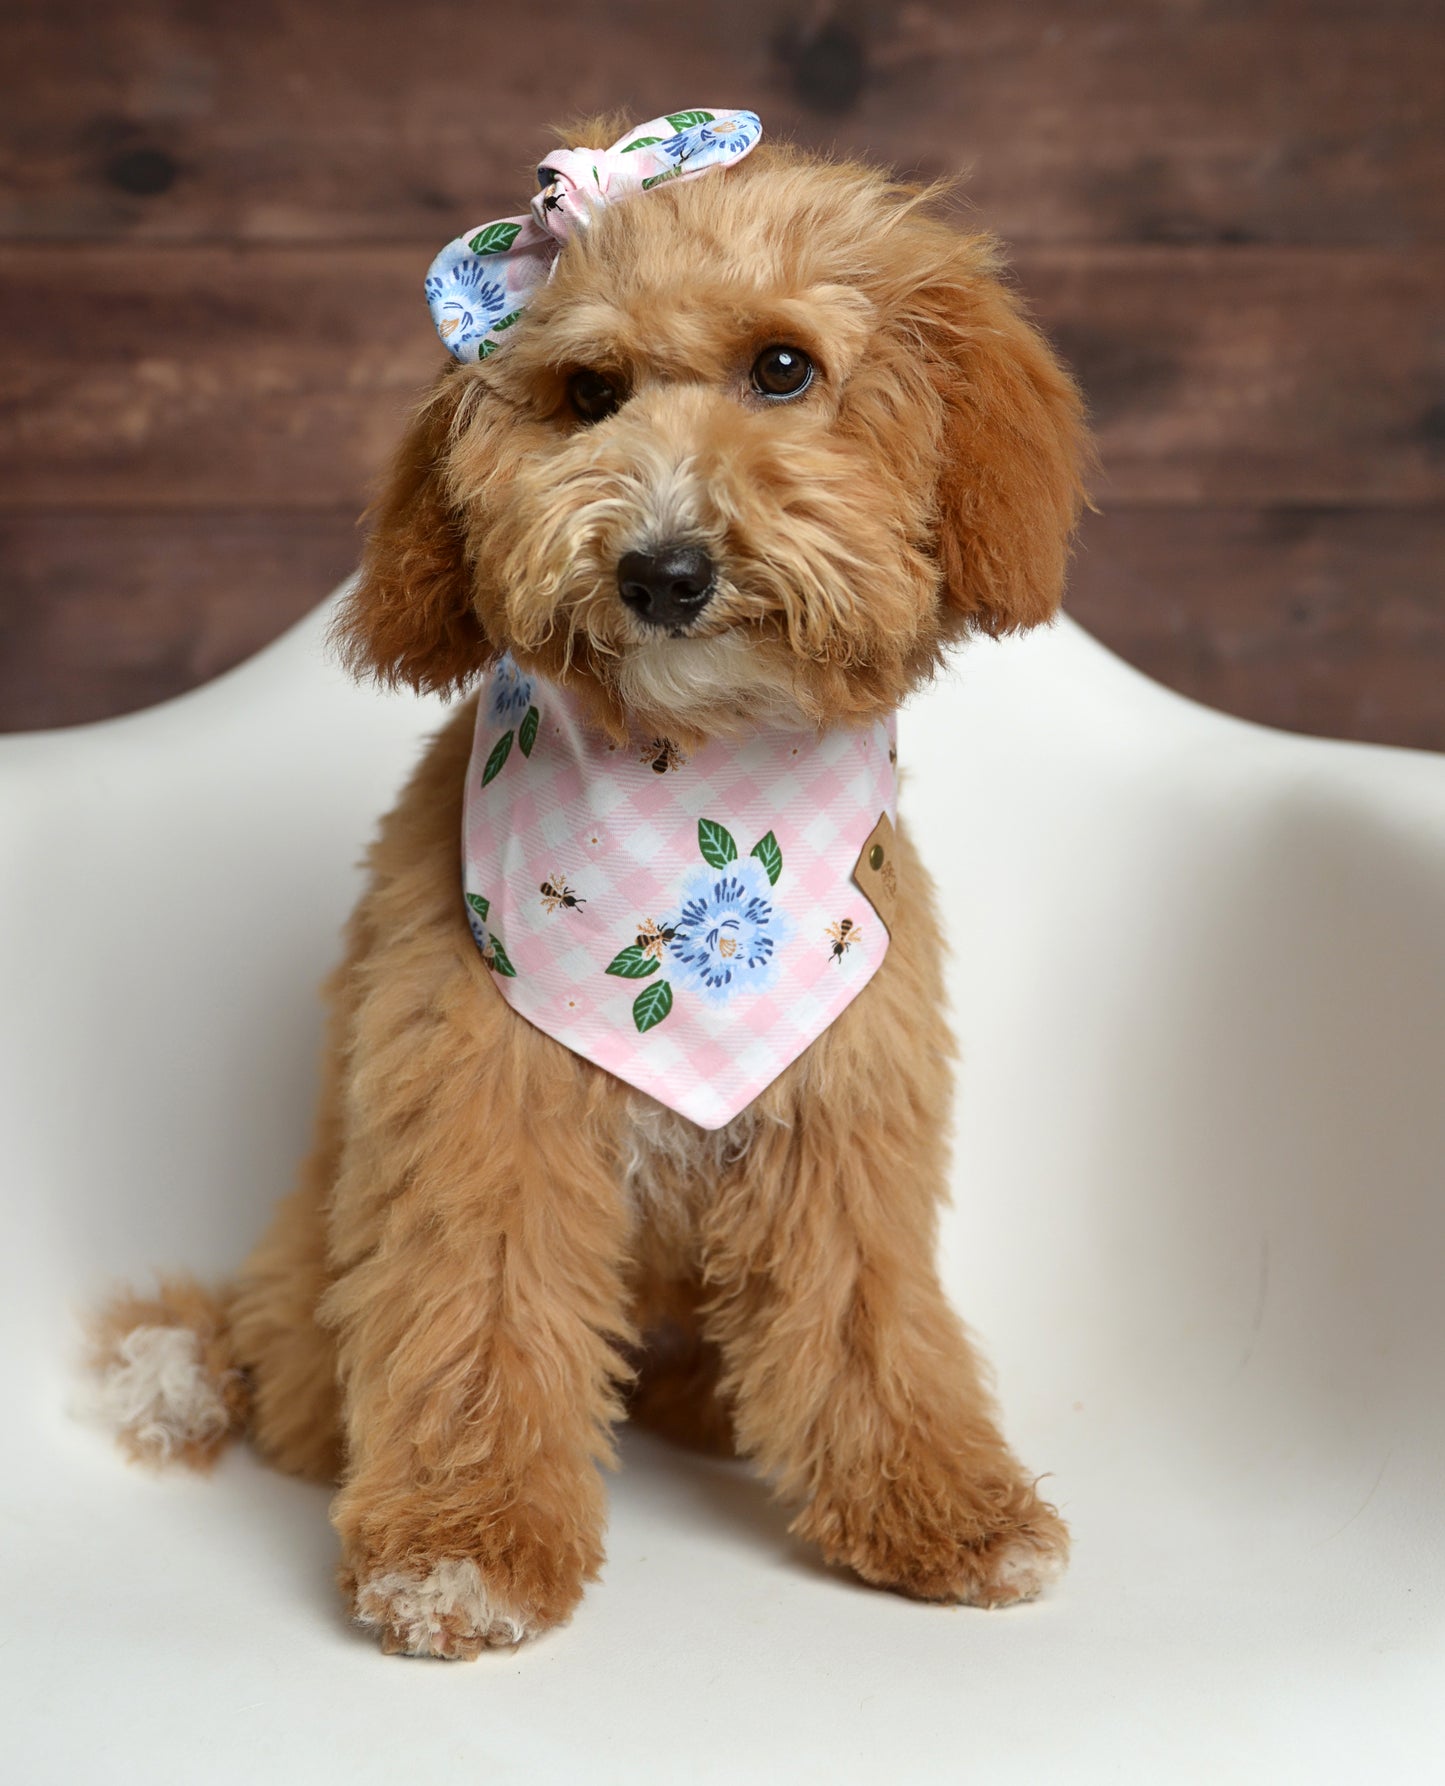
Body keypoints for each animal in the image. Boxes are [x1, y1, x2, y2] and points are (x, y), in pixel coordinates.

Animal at [87, 111, 1085, 1657]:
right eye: (589, 392)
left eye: (783, 368)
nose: (662, 569)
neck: (696, 798)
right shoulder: (482, 1116)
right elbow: (477, 1323)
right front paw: (463, 1552)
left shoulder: (842, 1118)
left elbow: (867, 1322)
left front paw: (944, 1511)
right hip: (315, 1293)